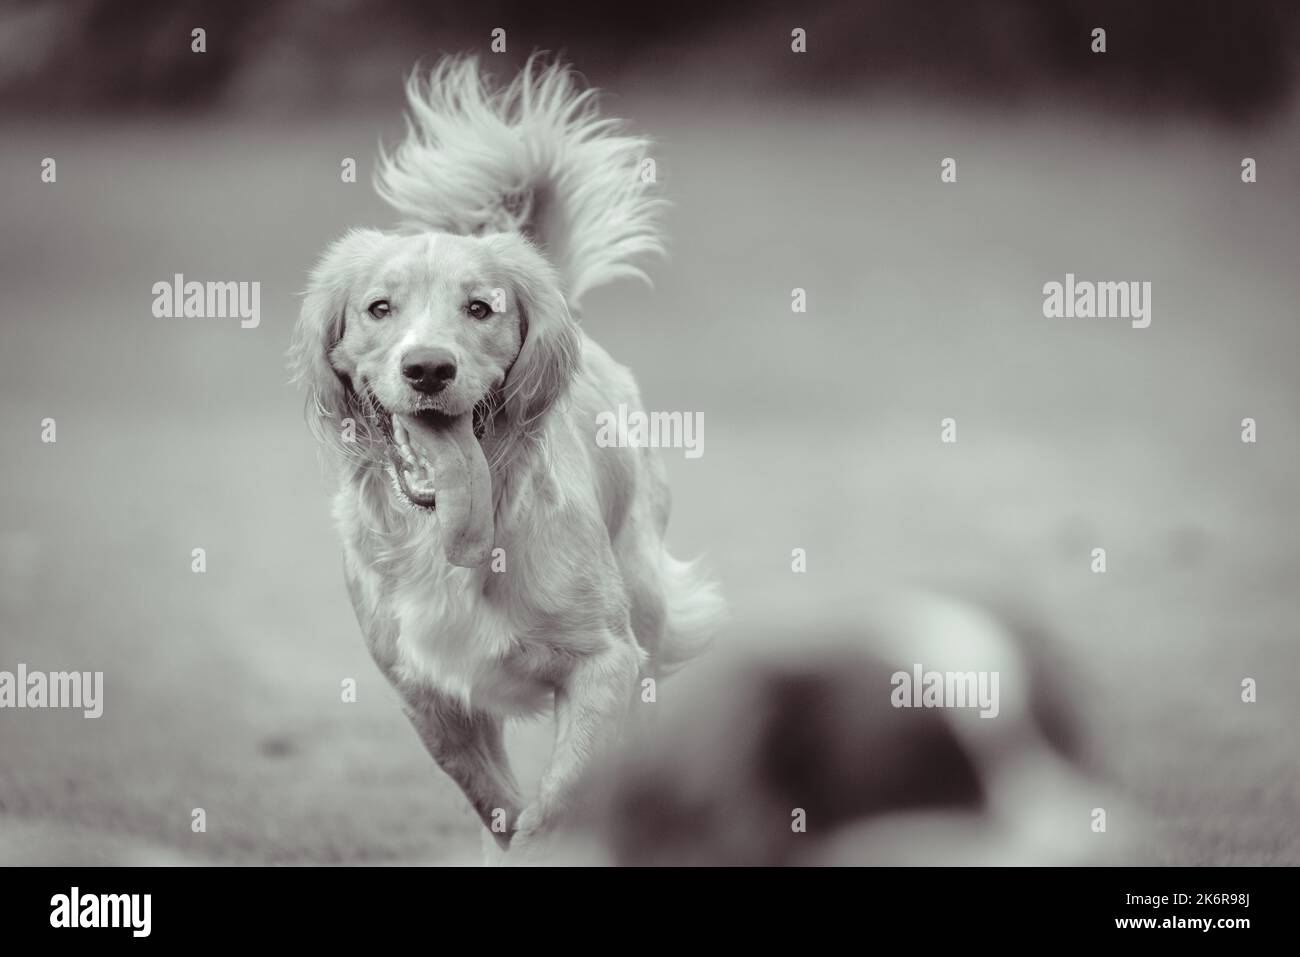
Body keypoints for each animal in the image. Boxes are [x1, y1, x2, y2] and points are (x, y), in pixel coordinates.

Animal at [288, 55, 728, 858]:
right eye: (378, 308)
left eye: (481, 308)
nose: (428, 367)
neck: (453, 534)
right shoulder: (429, 694)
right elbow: (494, 799)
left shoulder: (606, 663)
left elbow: (559, 802)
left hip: (646, 596)